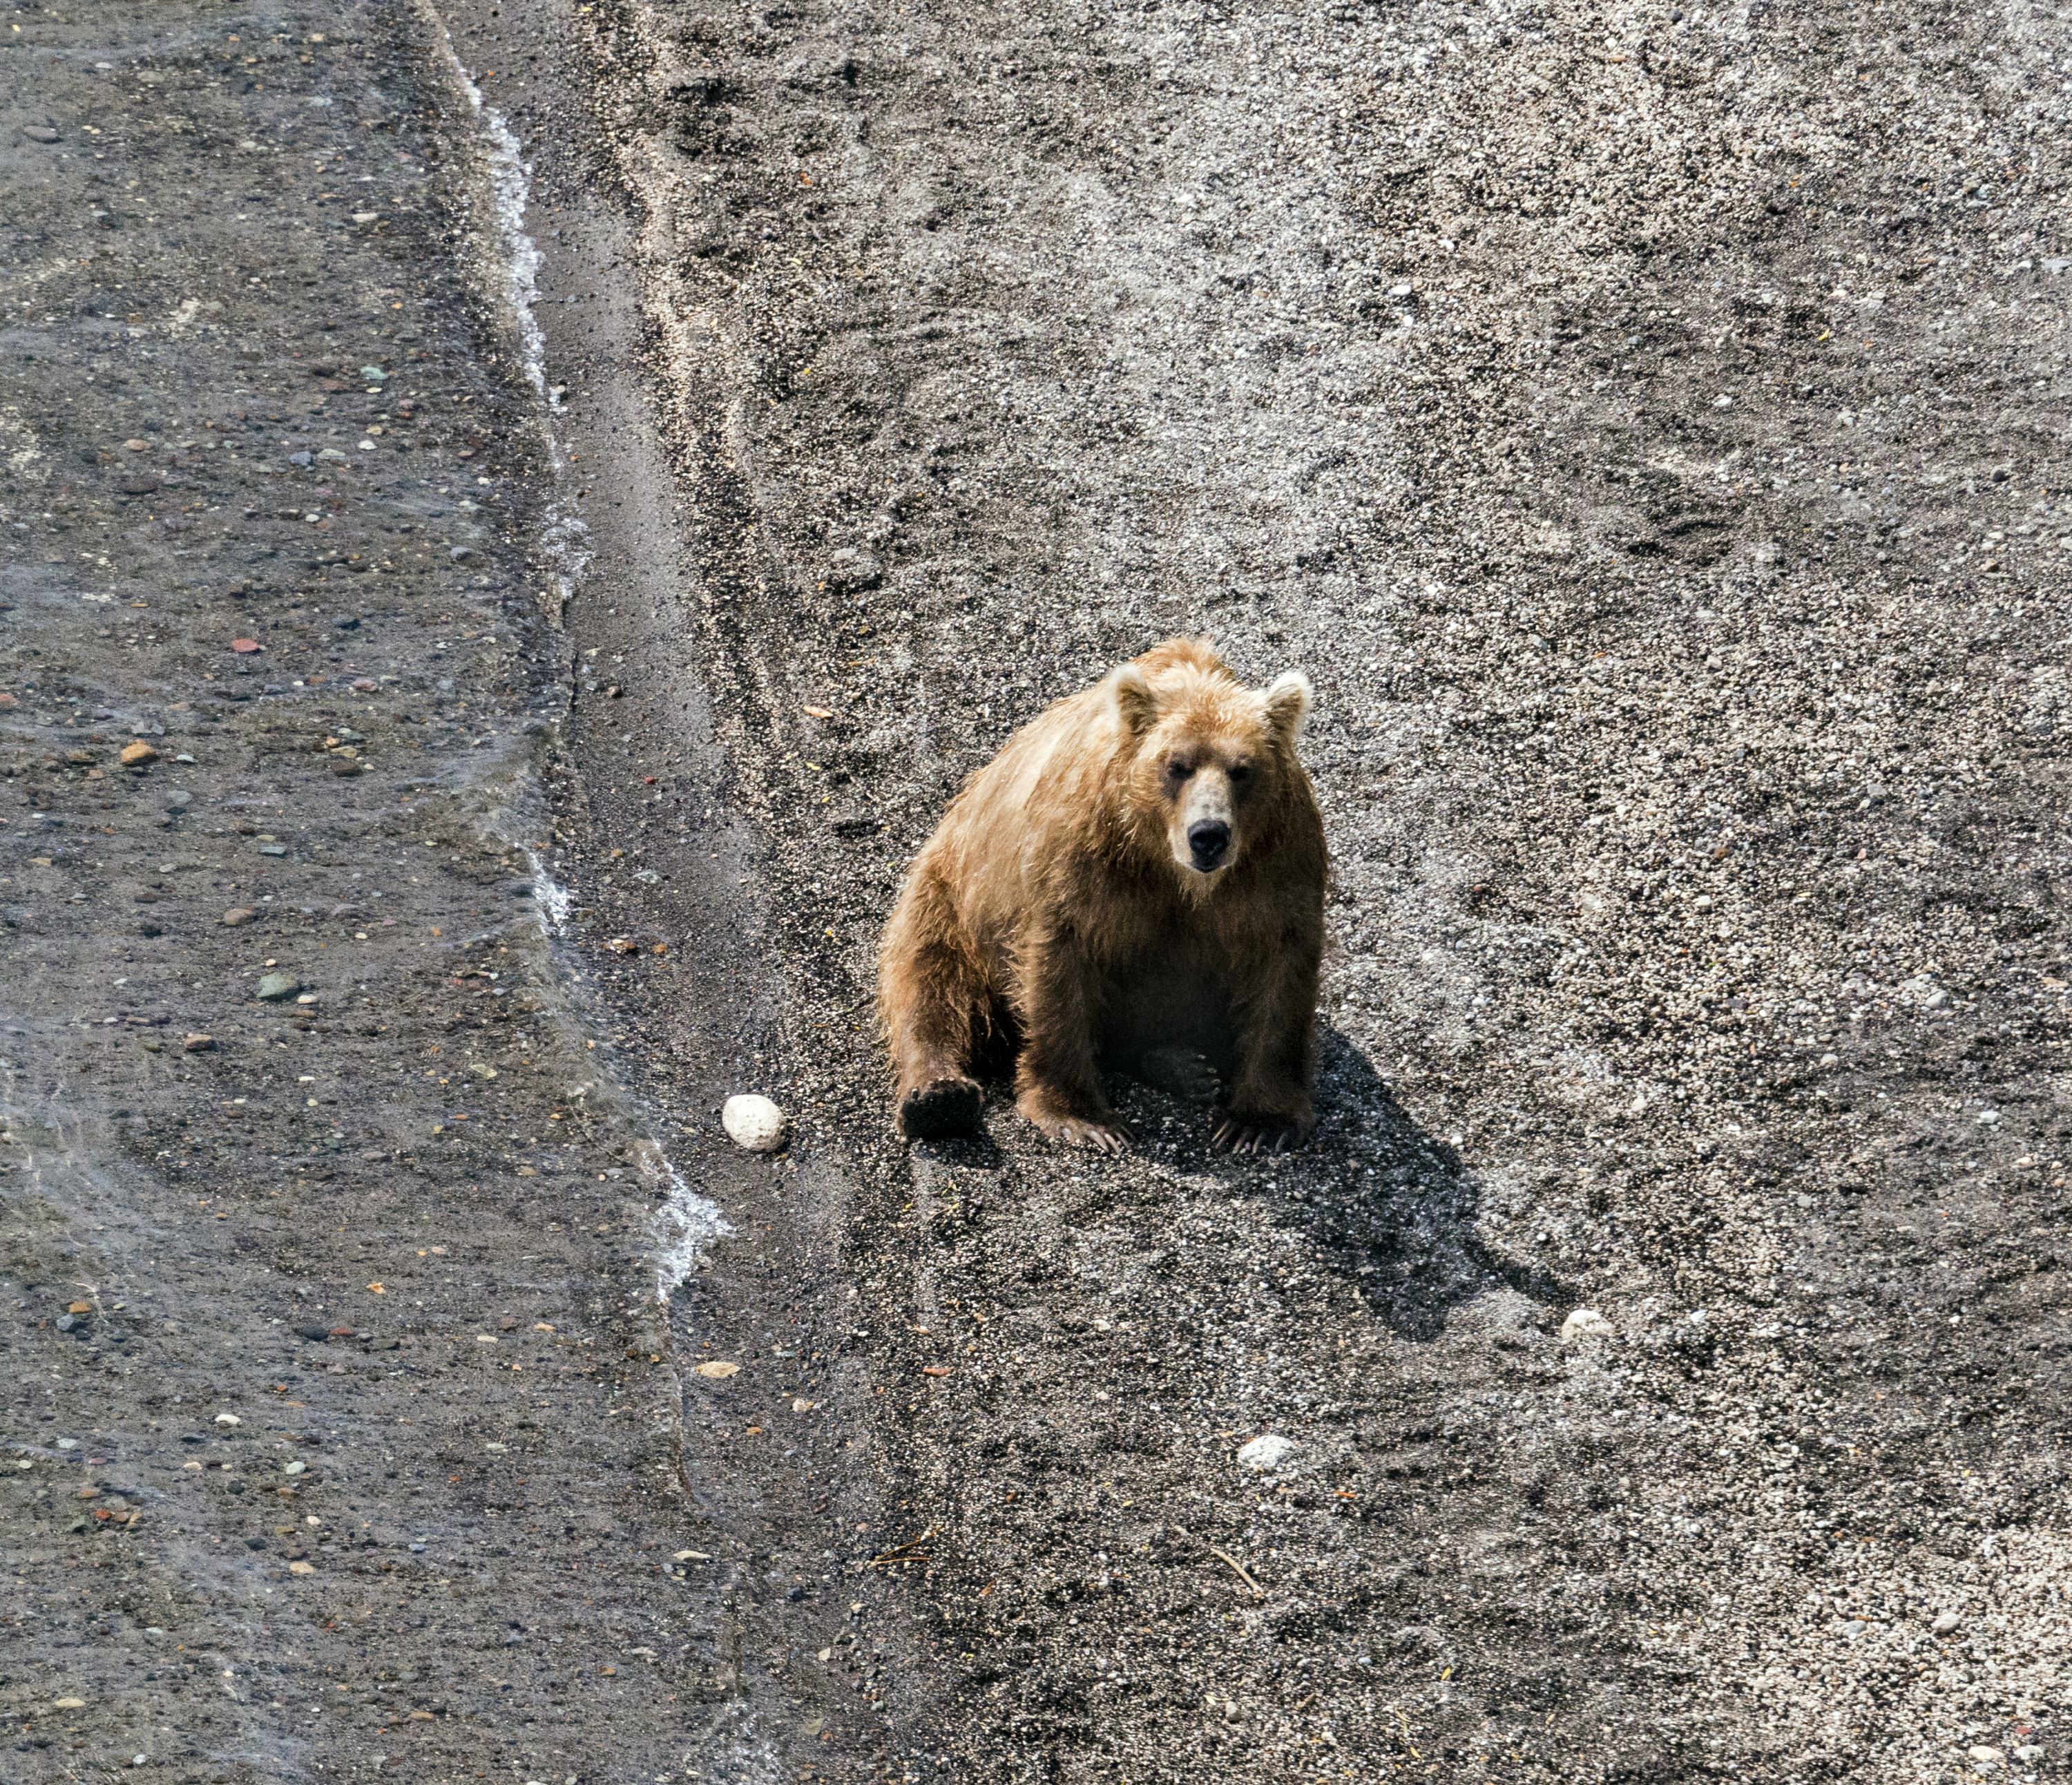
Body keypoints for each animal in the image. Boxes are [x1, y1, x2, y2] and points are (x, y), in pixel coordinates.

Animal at [874, 642, 1326, 1152]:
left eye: (1243, 770)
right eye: (1176, 766)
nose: (1208, 835)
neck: (1169, 867)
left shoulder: (1275, 863)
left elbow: (1282, 970)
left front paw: (1259, 1122)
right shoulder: (1083, 859)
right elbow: (1059, 964)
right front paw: (1083, 1117)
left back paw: (1184, 1068)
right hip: (947, 892)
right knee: (931, 979)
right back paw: (938, 1096)